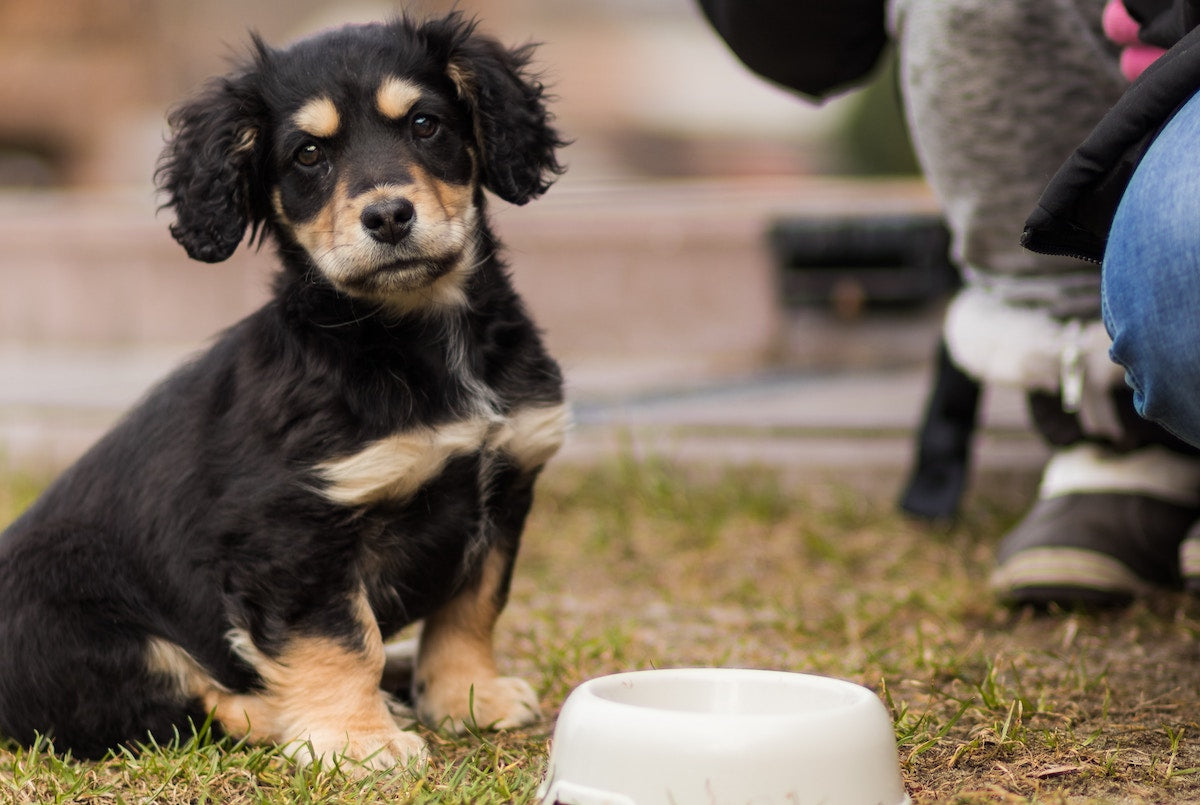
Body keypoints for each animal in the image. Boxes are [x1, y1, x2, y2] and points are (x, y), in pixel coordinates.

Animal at [0, 14, 568, 767]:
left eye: (425, 124)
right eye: (307, 155)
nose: (388, 217)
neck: (418, 335)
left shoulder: (505, 485)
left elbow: (472, 606)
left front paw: (466, 696)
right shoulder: (293, 529)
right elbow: (339, 638)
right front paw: (359, 743)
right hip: (81, 632)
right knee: (178, 708)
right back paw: (298, 714)